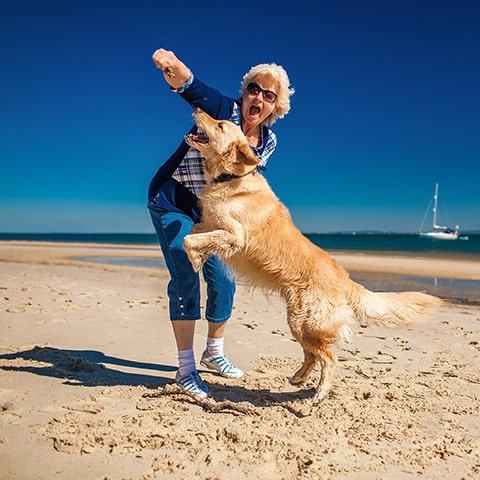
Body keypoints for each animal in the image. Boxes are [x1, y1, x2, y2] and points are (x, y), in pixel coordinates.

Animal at [184, 110, 442, 404]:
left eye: (219, 124)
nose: (197, 110)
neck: (230, 177)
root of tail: (346, 281)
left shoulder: (235, 235)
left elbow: (189, 239)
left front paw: (194, 259)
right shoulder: (210, 223)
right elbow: (193, 232)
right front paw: (200, 258)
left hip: (305, 322)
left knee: (329, 357)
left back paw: (320, 392)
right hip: (298, 323)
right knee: (312, 355)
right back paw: (298, 378)